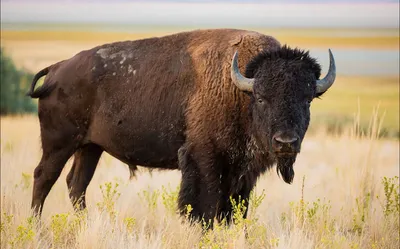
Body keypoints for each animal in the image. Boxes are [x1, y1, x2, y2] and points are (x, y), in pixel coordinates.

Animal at [26, 28, 336, 225]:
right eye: (261, 98)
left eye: (307, 99)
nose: (286, 142)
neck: (240, 89)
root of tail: (56, 69)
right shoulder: (204, 160)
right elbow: (204, 208)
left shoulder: (243, 173)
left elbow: (234, 210)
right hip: (59, 144)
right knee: (44, 178)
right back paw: (35, 227)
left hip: (90, 147)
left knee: (76, 184)